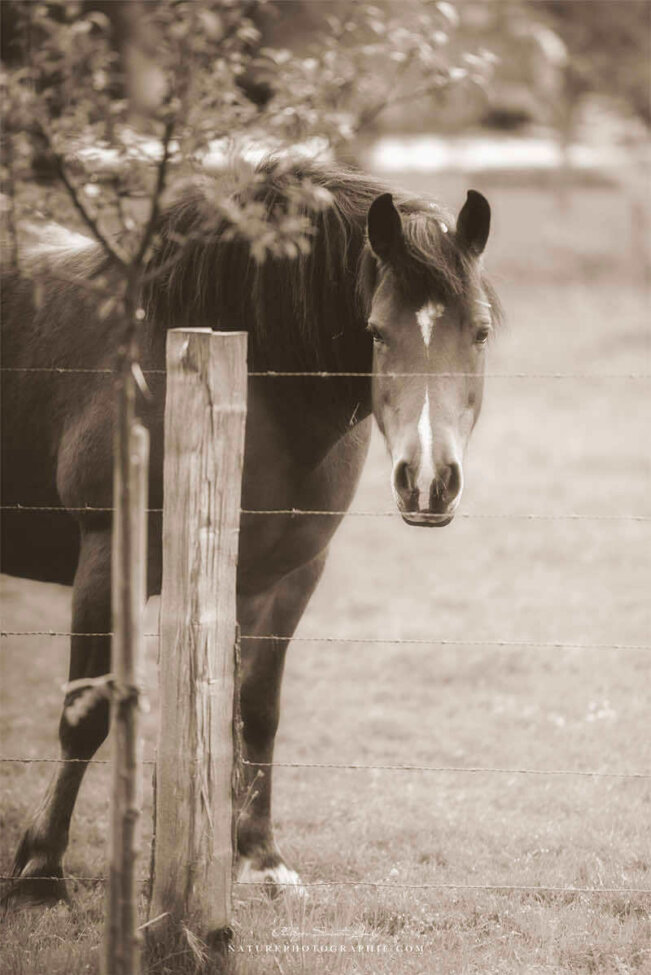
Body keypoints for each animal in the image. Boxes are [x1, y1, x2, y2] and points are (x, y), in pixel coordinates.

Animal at [1, 157, 499, 904]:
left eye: (481, 331)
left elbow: (256, 711)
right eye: (376, 331)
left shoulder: (282, 578)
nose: (428, 479)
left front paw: (260, 858)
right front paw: (40, 870)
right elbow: (84, 717)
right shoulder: (106, 558)